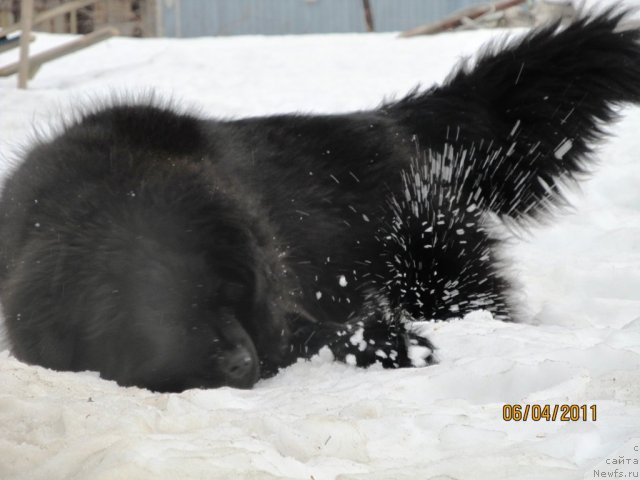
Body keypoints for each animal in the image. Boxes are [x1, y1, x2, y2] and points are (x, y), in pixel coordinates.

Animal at [3, 11, 640, 392]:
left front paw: (391, 346)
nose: (242, 361)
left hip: (436, 275)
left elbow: (320, 328)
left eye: (231, 293)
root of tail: (387, 120)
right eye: (166, 312)